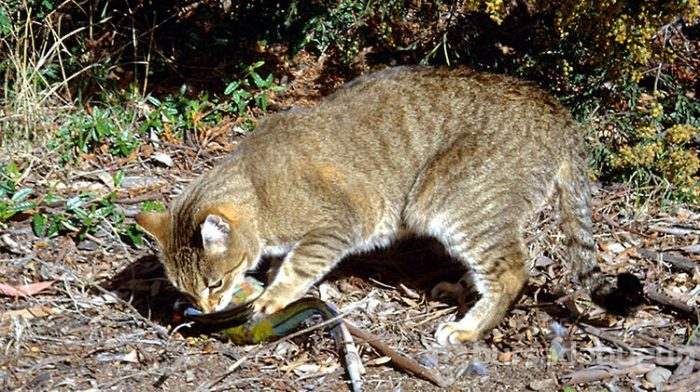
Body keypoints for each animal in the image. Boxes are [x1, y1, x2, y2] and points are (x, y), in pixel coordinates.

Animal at [135, 66, 640, 344]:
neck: (258, 189)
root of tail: (558, 111)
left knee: (513, 269)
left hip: (451, 203)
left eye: (215, 282)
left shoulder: (339, 223)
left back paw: (469, 327)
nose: (205, 306)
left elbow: (298, 267)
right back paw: (461, 288)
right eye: (186, 290)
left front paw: (272, 297)